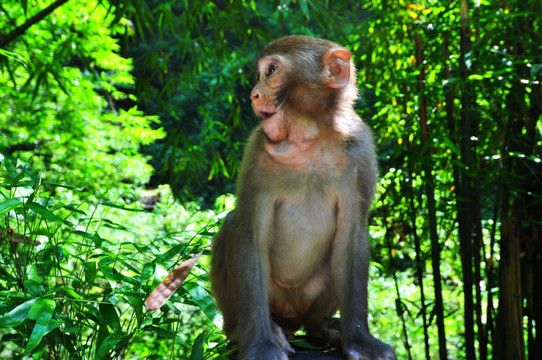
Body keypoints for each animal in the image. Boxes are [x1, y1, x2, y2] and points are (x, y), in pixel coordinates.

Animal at [210, 34, 398, 360]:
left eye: (270, 71)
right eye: (260, 75)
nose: (254, 95)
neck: (310, 137)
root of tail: (291, 316)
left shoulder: (360, 149)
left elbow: (351, 237)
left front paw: (360, 340)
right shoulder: (257, 149)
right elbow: (250, 232)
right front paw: (261, 344)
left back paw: (322, 326)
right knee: (233, 224)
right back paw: (248, 330)